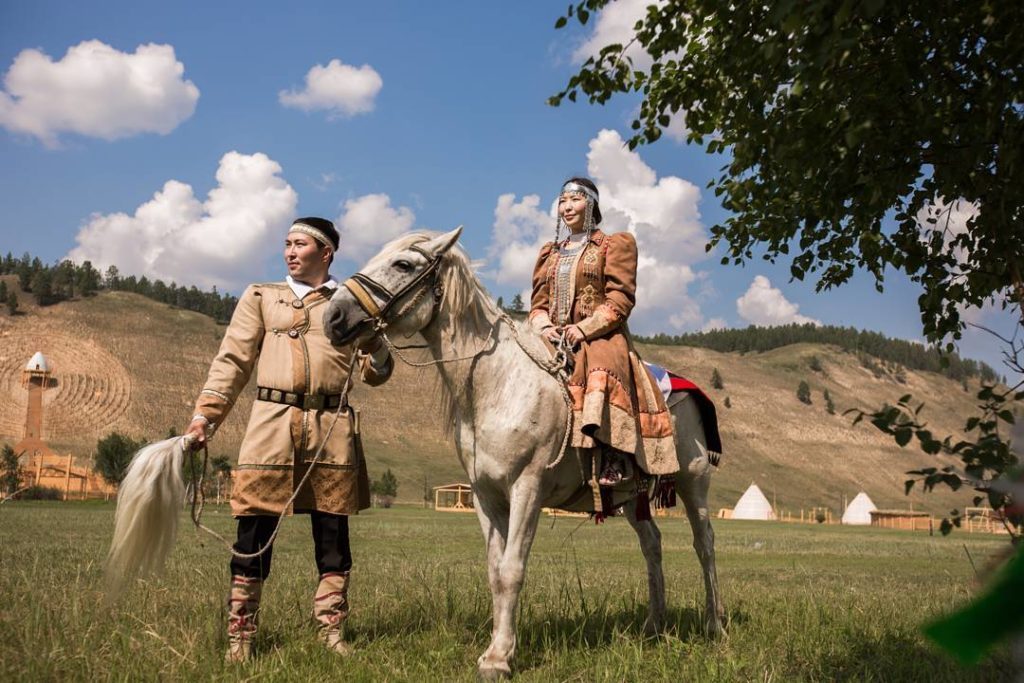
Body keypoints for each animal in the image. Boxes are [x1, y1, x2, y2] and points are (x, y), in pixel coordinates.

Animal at [323, 228, 724, 679]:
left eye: (403, 264)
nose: (333, 317)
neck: (498, 384)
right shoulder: (485, 496)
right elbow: (496, 571)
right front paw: (495, 651)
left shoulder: (527, 489)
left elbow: (513, 569)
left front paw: (499, 658)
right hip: (628, 496)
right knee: (652, 543)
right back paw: (653, 625)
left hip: (693, 481)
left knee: (704, 543)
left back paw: (714, 625)